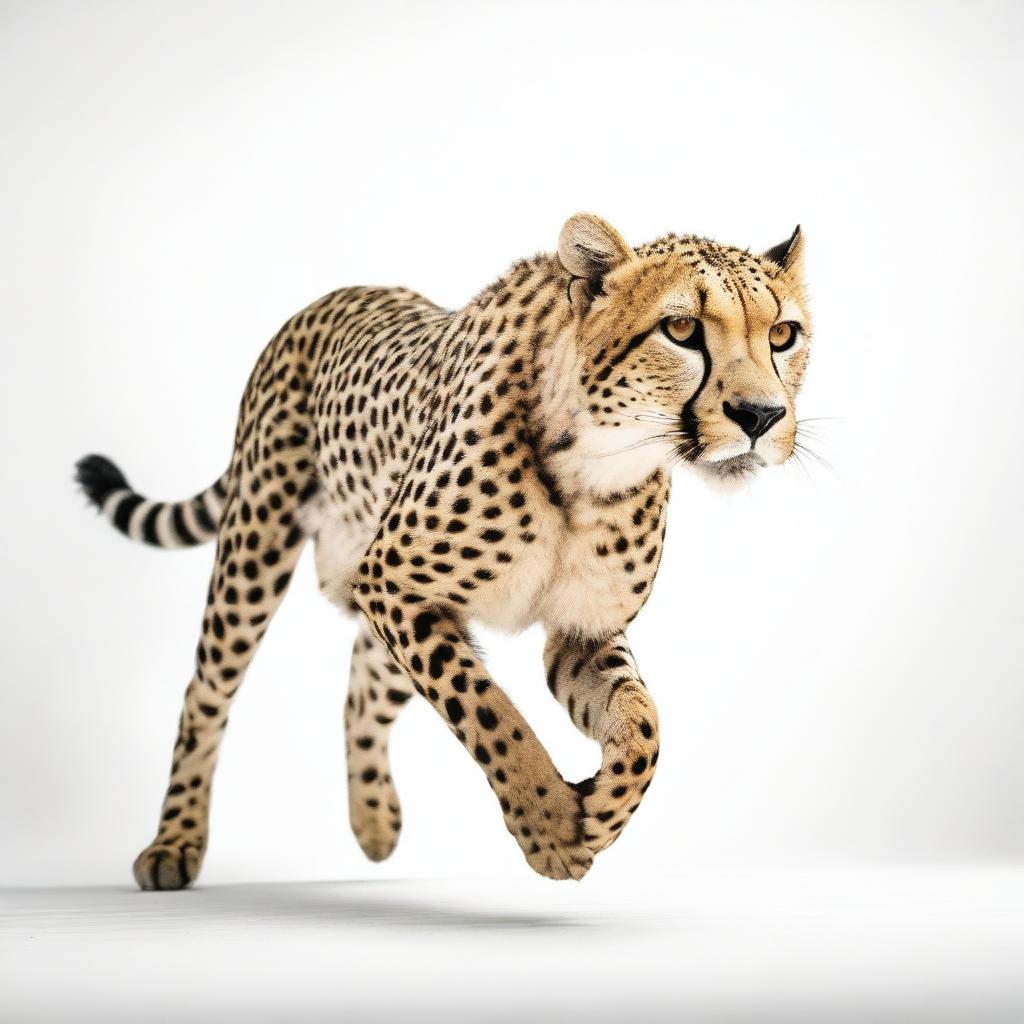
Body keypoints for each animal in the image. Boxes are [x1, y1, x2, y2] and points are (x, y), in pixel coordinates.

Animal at [72, 214, 811, 888]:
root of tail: (333, 295)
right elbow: (489, 710)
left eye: (783, 335)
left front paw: (601, 810)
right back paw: (174, 844)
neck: (596, 465)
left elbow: (643, 724)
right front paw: (550, 826)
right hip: (258, 547)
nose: (761, 416)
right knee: (207, 691)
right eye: (681, 330)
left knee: (362, 683)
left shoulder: (579, 630)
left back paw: (373, 821)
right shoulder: (395, 584)